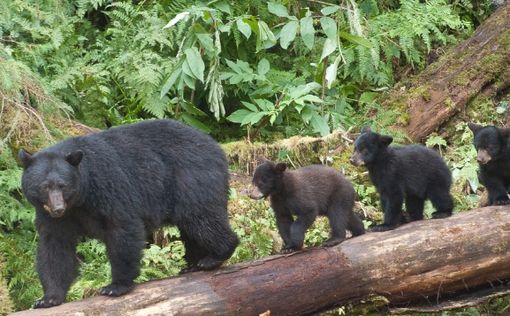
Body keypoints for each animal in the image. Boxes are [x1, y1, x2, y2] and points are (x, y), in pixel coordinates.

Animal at [19, 119, 239, 308]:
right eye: (44, 187)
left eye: (63, 186)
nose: (58, 208)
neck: (80, 200)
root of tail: (217, 148)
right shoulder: (54, 217)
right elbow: (55, 247)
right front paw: (48, 298)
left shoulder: (108, 186)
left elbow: (122, 228)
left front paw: (115, 286)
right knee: (192, 227)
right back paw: (193, 264)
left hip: (192, 178)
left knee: (201, 218)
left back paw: (215, 256)